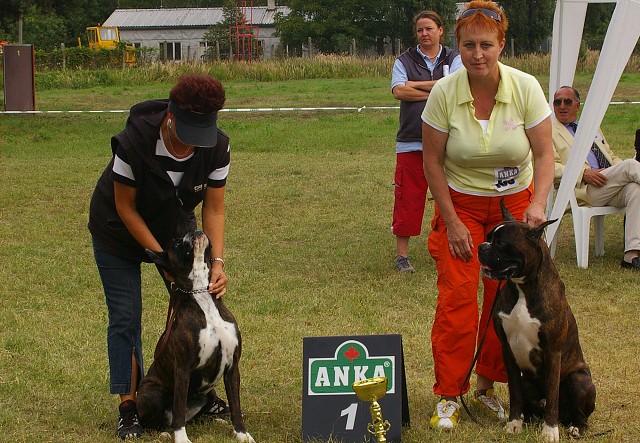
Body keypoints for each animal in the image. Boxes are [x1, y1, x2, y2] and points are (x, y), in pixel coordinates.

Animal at [138, 231, 255, 443]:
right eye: (176, 243)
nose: (194, 232)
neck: (201, 296)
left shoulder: (232, 367)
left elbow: (235, 405)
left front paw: (242, 434)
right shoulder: (182, 369)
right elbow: (178, 408)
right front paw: (181, 438)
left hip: (209, 392)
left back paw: (217, 421)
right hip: (153, 391)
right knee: (154, 422)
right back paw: (162, 432)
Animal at [476, 203, 596, 442]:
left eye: (500, 243)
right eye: (488, 237)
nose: (481, 247)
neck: (523, 288)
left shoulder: (552, 352)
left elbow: (552, 397)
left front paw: (549, 431)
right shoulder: (507, 350)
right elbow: (514, 394)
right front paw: (514, 424)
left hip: (580, 380)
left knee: (575, 413)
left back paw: (576, 427)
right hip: (527, 382)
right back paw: (527, 419)